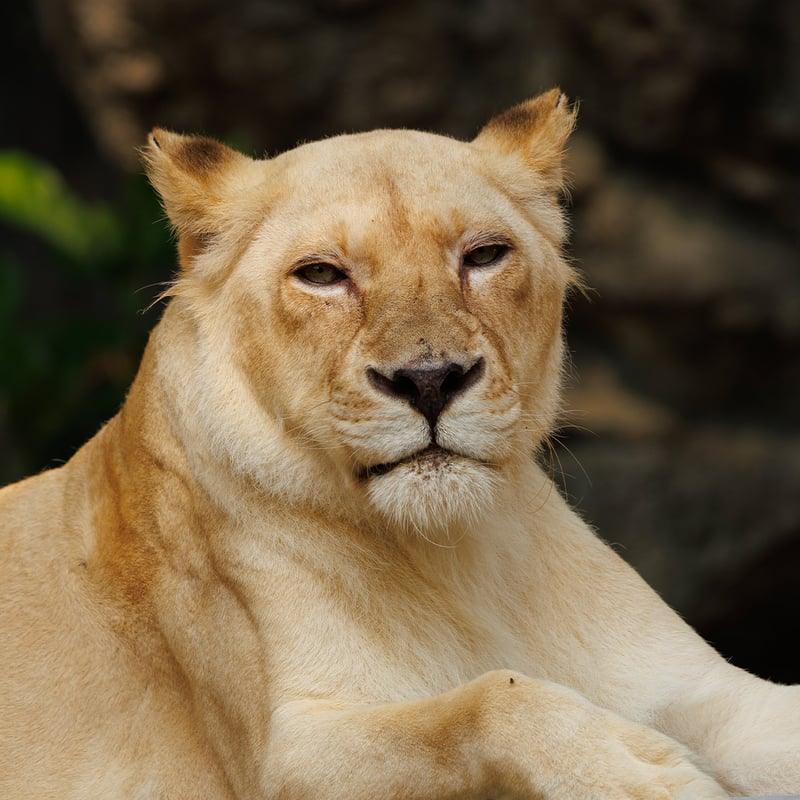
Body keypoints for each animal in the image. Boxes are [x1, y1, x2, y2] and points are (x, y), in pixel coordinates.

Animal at [1, 89, 798, 800]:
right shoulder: (281, 758)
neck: (457, 560)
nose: (430, 380)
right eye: (321, 274)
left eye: (484, 255)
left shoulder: (701, 688)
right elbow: (485, 703)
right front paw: (642, 771)